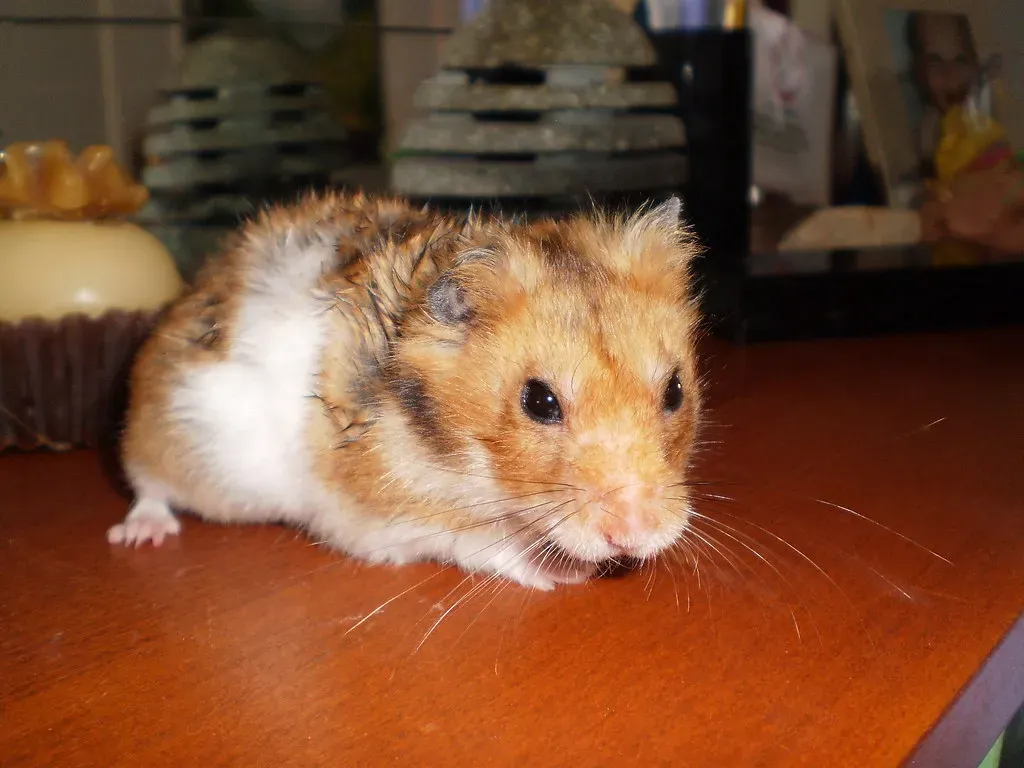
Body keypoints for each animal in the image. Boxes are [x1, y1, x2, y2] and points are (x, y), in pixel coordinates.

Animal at [107, 191, 703, 589]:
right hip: (165, 434)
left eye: (675, 391)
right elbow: (482, 542)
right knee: (147, 485)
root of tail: (197, 286)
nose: (637, 536)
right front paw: (566, 573)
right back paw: (140, 534)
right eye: (538, 402)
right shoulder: (385, 518)